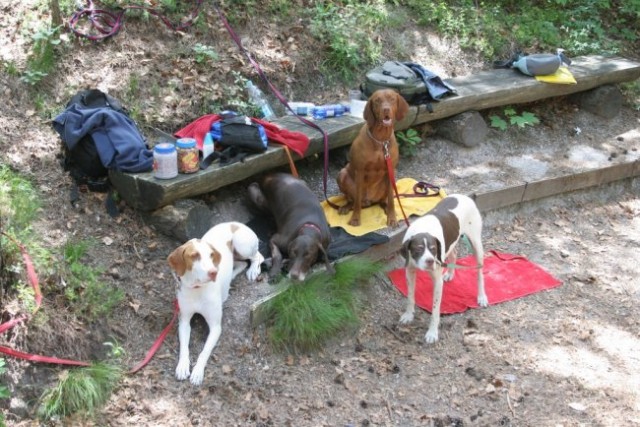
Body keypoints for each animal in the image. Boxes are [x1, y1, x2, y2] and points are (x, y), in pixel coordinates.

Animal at [169, 222, 264, 386]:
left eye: (211, 255)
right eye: (194, 256)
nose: (213, 272)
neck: (198, 289)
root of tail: (235, 223)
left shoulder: (215, 327)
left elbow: (204, 351)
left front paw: (197, 372)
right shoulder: (184, 321)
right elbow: (184, 348)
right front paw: (182, 366)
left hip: (242, 244)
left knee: (258, 256)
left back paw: (253, 270)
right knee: (241, 264)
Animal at [338, 89, 408, 229]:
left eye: (392, 99)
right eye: (377, 101)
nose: (386, 109)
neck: (381, 140)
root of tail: (369, 201)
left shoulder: (391, 170)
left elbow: (391, 199)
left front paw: (392, 218)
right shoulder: (360, 170)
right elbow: (357, 202)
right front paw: (355, 218)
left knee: (384, 200)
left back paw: (386, 207)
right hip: (342, 174)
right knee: (353, 199)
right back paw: (346, 207)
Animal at [400, 194, 484, 344]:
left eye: (433, 249)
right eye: (418, 249)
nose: (430, 261)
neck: (423, 228)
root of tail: (467, 196)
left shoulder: (437, 282)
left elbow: (435, 310)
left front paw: (432, 333)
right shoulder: (409, 272)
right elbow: (410, 297)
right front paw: (409, 315)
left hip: (476, 244)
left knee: (480, 272)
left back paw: (482, 296)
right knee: (453, 253)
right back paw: (450, 274)